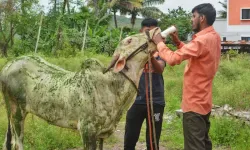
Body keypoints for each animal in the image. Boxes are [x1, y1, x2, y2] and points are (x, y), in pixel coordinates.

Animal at [1, 27, 164, 150]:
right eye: (129, 40)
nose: (155, 30)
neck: (112, 85)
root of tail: (8, 65)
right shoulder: (87, 131)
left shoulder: (102, 134)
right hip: (16, 112)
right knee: (17, 143)